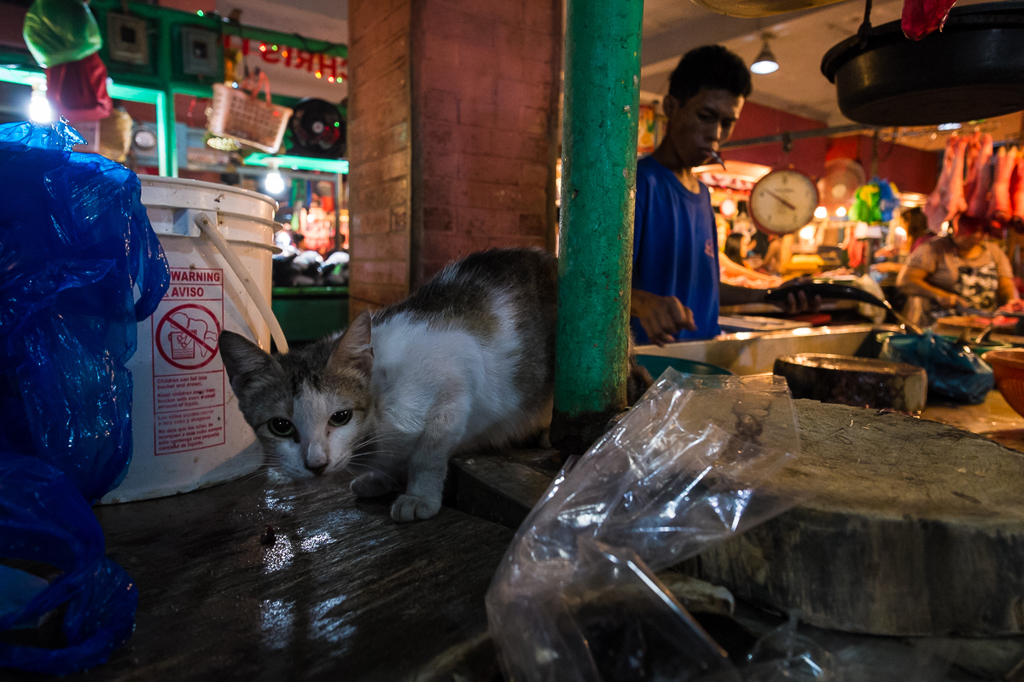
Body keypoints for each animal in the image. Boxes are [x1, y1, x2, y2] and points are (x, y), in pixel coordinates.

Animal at [220, 244, 651, 520]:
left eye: (340, 417)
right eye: (280, 426)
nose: (316, 464)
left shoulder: (455, 386)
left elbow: (428, 453)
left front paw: (418, 495)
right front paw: (381, 478)